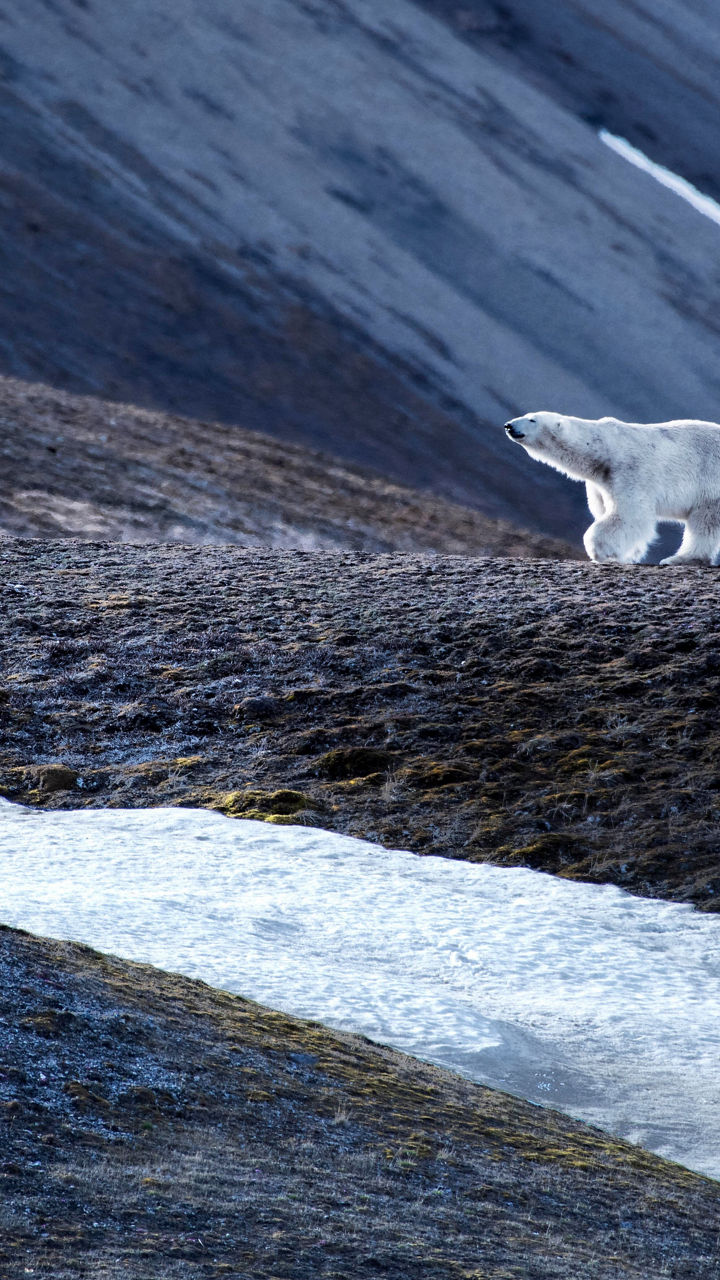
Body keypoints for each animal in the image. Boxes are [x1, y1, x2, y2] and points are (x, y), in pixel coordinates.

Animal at [504, 411, 720, 565]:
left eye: (532, 419)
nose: (508, 425)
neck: (606, 448)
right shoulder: (599, 483)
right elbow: (604, 510)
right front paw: (628, 554)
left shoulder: (630, 470)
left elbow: (628, 514)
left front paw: (602, 552)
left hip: (710, 482)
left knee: (704, 523)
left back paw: (680, 558)